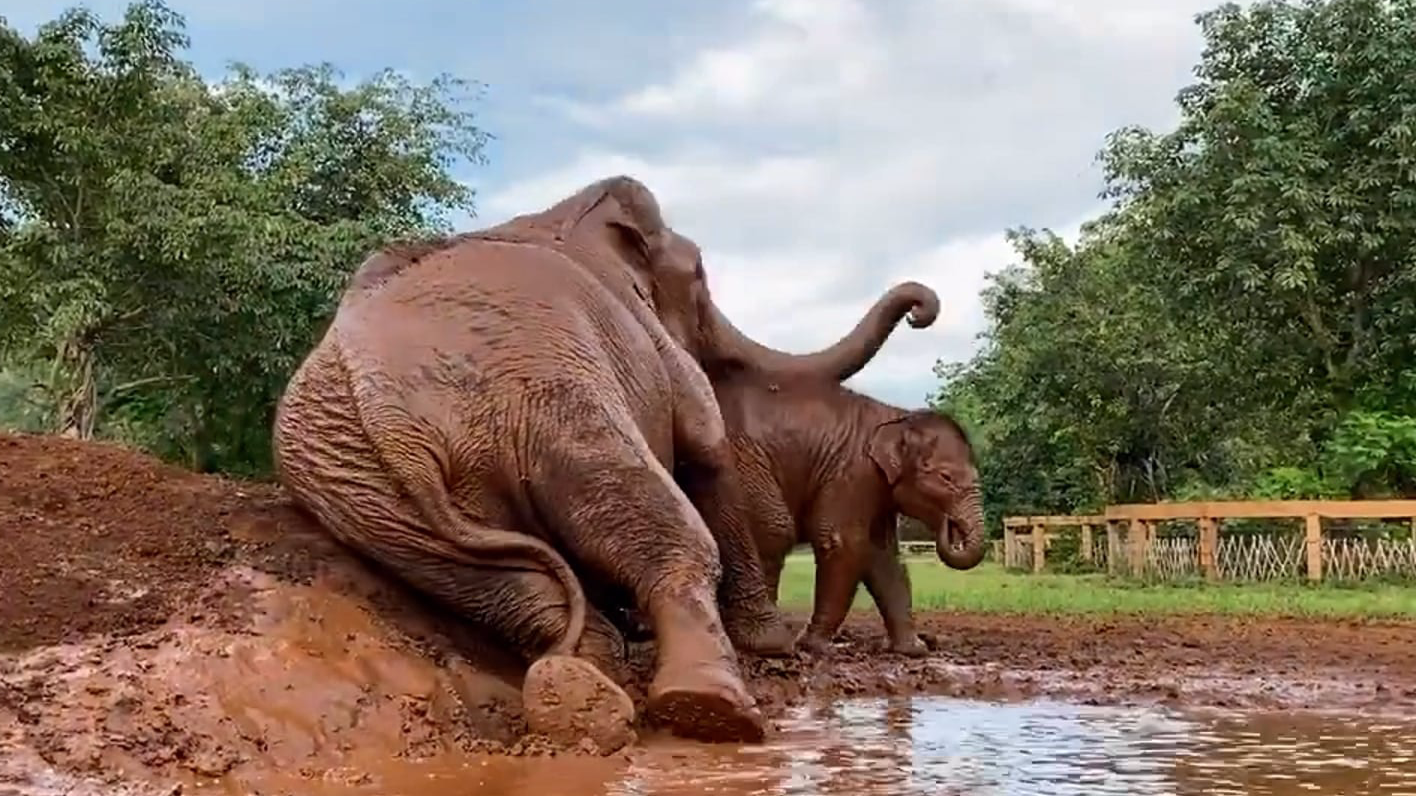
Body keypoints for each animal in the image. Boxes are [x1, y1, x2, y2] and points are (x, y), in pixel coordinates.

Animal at [269, 175, 941, 747]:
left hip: (364, 488)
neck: (560, 210)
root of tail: (395, 423)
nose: (922, 310)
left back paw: (592, 673)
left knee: (503, 582)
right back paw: (709, 709)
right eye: (700, 278)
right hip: (556, 402)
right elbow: (707, 450)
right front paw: (773, 646)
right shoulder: (661, 351)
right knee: (663, 532)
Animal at [714, 372, 985, 657]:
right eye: (946, 477)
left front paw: (913, 650)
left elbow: (884, 558)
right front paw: (816, 646)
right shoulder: (852, 474)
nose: (949, 526)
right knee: (772, 532)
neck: (898, 416)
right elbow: (843, 545)